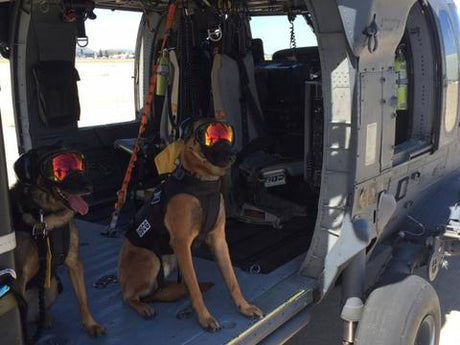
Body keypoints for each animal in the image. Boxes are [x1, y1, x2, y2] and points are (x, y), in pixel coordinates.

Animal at [10, 146, 104, 336]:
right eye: (58, 170)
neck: (47, 217)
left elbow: (83, 299)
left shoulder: (74, 264)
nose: (89, 187)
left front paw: (91, 324)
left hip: (52, 286)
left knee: (40, 311)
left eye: (78, 164)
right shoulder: (19, 279)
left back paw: (44, 320)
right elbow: (21, 323)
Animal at [117, 119, 262, 330]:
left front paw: (244, 307)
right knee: (128, 297)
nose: (234, 154)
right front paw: (204, 318)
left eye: (227, 135)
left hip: (170, 260)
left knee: (158, 289)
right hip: (150, 258)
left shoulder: (218, 240)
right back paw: (143, 307)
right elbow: (194, 287)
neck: (202, 181)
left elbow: (232, 279)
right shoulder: (182, 244)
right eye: (208, 137)